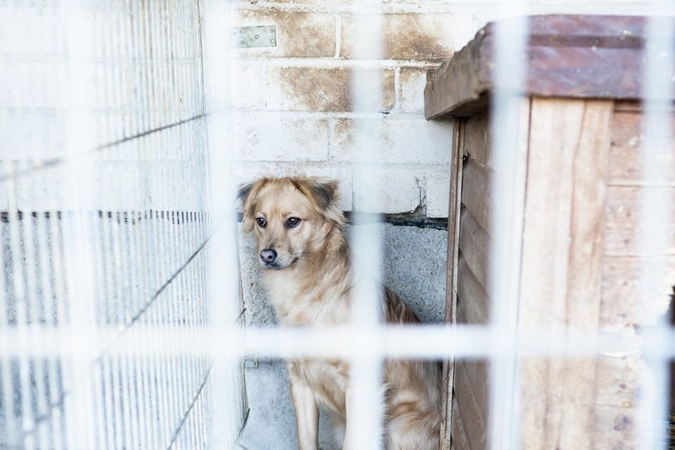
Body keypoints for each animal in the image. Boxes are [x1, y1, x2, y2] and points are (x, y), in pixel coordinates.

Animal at [239, 176, 444, 450]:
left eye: (292, 221)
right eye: (261, 221)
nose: (267, 255)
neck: (307, 292)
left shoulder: (359, 386)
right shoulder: (300, 381)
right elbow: (306, 439)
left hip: (396, 426)